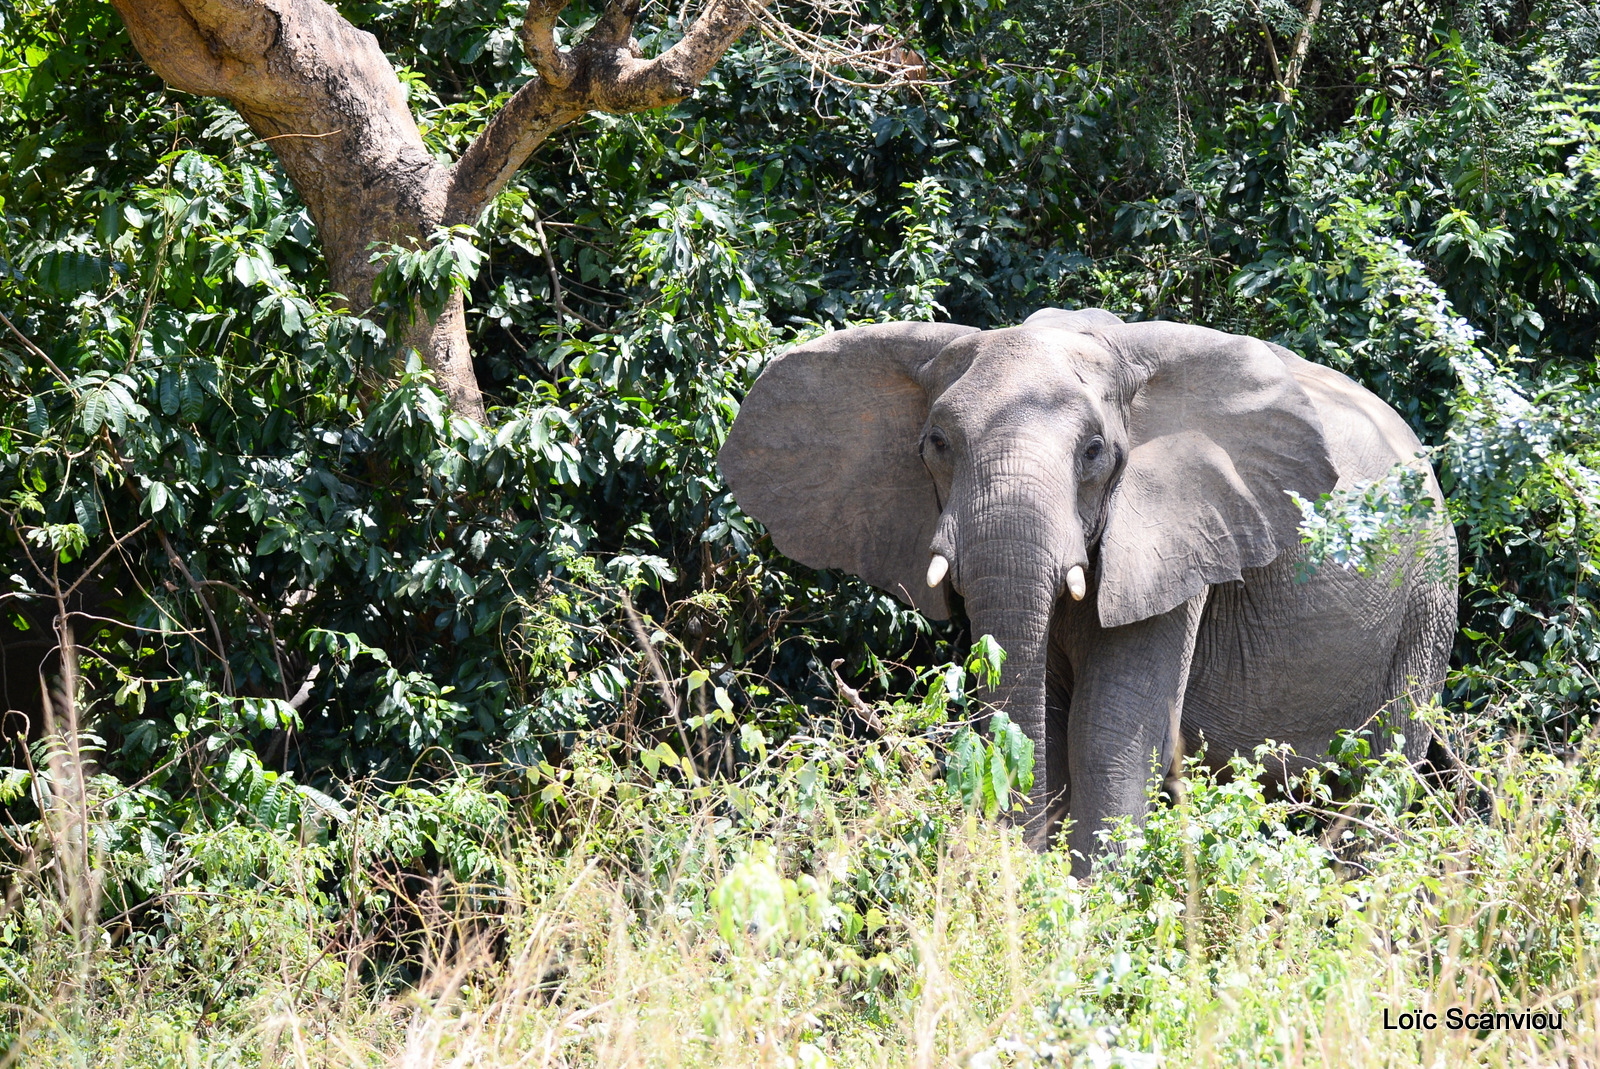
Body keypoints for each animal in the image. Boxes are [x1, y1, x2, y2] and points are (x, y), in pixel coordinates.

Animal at [723, 304, 1465, 870]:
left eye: (1094, 452)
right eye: (936, 442)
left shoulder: (1181, 536)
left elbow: (1108, 728)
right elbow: (1047, 718)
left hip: (1428, 594)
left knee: (1386, 770)